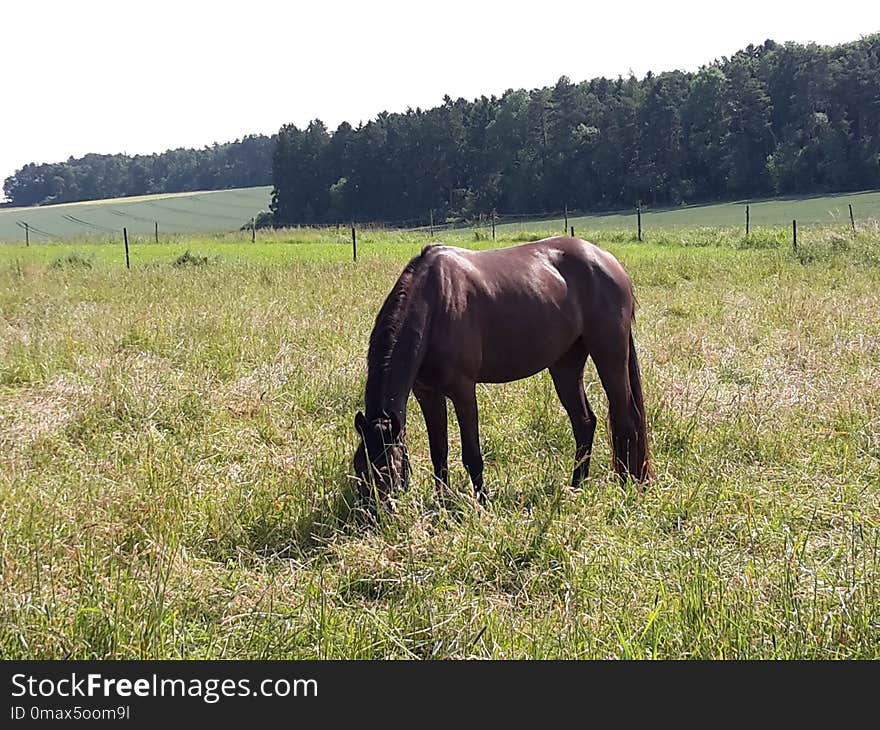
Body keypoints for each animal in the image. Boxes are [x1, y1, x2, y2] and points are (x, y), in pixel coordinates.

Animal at [354, 236, 648, 510]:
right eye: (359, 467)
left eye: (387, 471)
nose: (373, 516)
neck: (434, 302)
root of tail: (609, 261)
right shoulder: (426, 393)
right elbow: (439, 453)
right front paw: (442, 504)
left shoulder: (463, 390)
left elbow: (471, 454)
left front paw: (483, 503)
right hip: (566, 365)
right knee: (584, 423)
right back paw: (576, 487)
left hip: (609, 355)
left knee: (626, 421)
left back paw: (627, 487)